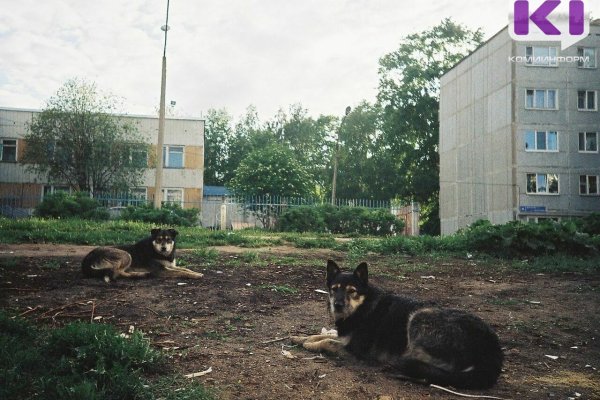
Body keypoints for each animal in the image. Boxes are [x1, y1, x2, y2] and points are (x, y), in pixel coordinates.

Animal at [292, 260, 504, 390]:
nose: (337, 305)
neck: (363, 306)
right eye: (334, 289)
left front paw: (309, 344)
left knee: (431, 371)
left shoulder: (354, 349)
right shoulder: (344, 337)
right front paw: (299, 337)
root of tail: (493, 351)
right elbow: (323, 335)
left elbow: (327, 341)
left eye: (352, 291)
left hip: (420, 316)